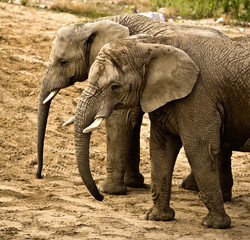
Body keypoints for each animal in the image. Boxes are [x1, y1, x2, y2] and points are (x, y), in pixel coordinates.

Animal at [37, 13, 229, 195]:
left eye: (63, 62)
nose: (40, 175)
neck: (96, 23)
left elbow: (120, 121)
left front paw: (109, 191)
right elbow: (131, 121)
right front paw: (133, 183)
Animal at [72, 34, 250, 229]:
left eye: (114, 87)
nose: (101, 197)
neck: (156, 44)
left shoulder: (198, 96)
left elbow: (199, 149)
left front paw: (215, 225)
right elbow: (161, 150)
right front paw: (158, 217)